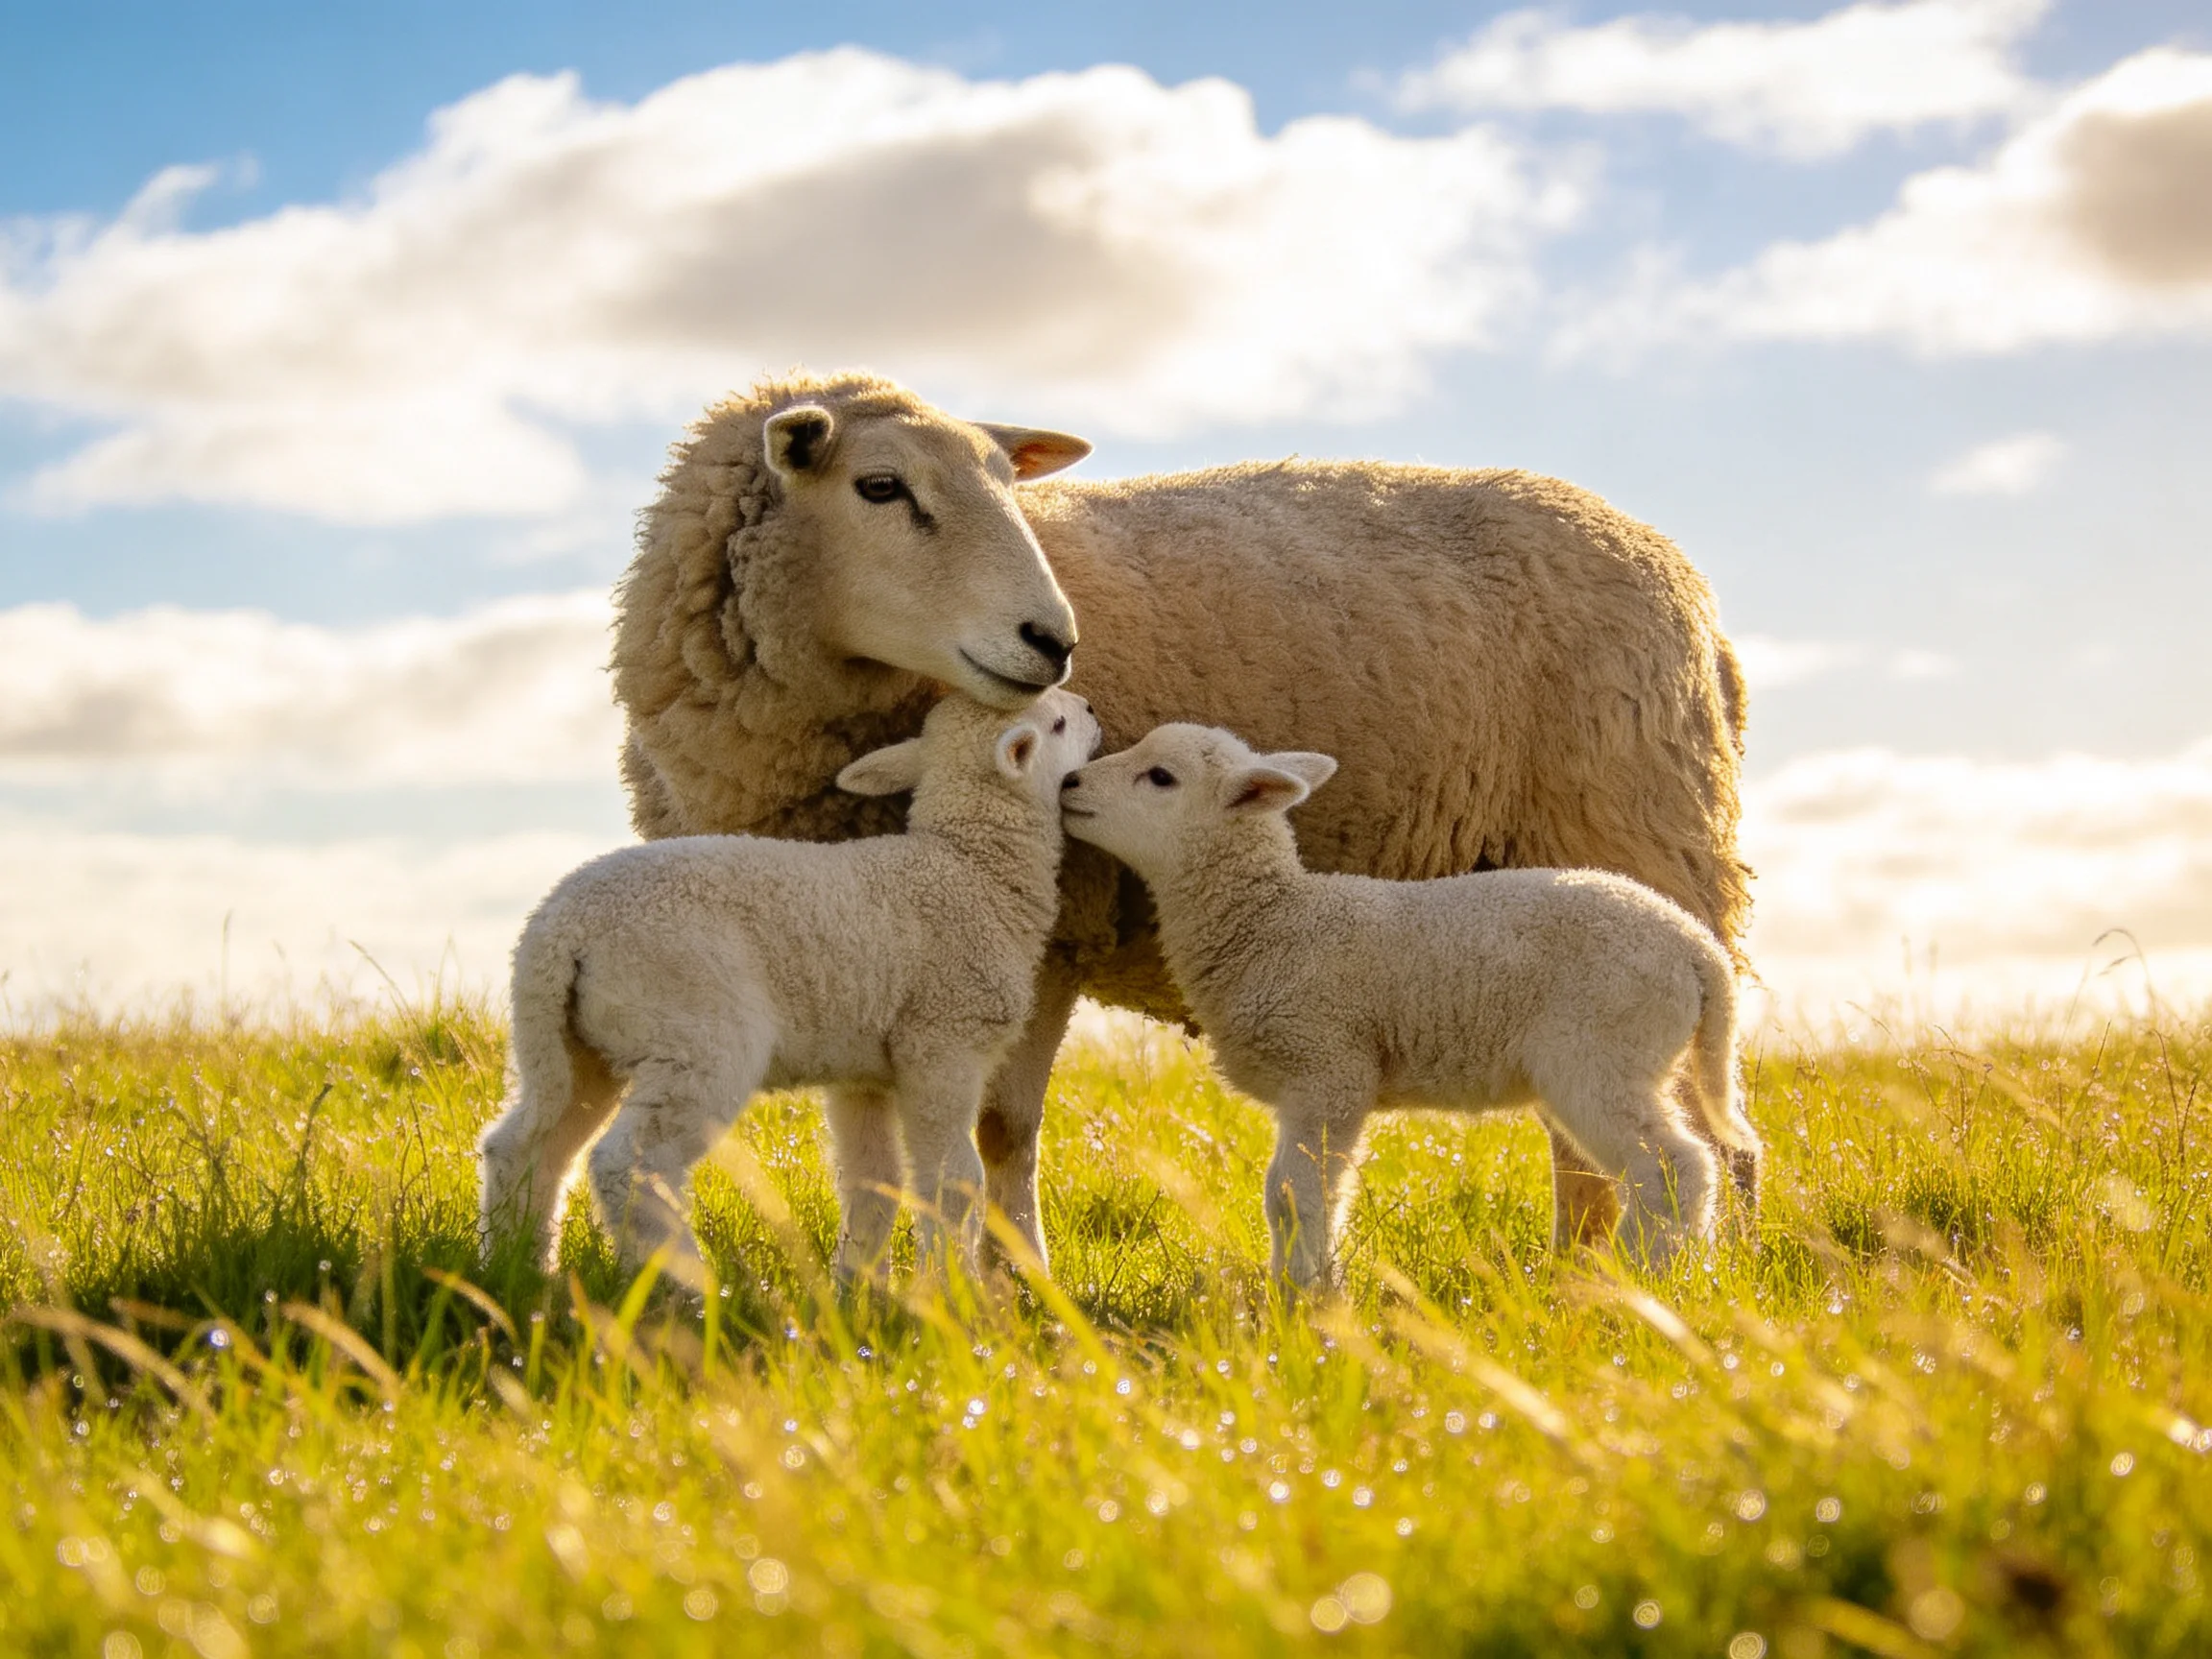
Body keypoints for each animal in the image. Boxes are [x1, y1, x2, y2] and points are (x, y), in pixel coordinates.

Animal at [477, 687, 1100, 1283]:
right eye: (1057, 725)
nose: (1092, 710)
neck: (971, 868)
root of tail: (561, 929)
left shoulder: (864, 1071)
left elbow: (872, 1180)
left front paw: (863, 1291)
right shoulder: (944, 1043)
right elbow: (953, 1181)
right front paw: (954, 1292)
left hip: (571, 1041)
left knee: (525, 1143)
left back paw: (519, 1269)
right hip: (694, 1030)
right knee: (628, 1162)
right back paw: (683, 1283)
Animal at [1060, 722, 1762, 1289]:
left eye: (1160, 777)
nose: (1068, 781)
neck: (1274, 922)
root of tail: (1698, 950)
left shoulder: (1329, 1066)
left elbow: (1296, 1196)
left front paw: (1306, 1298)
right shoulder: (1315, 1086)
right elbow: (1295, 1193)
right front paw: (1297, 1285)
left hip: (1601, 1051)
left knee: (1676, 1166)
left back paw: (1642, 1280)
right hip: (1636, 1057)